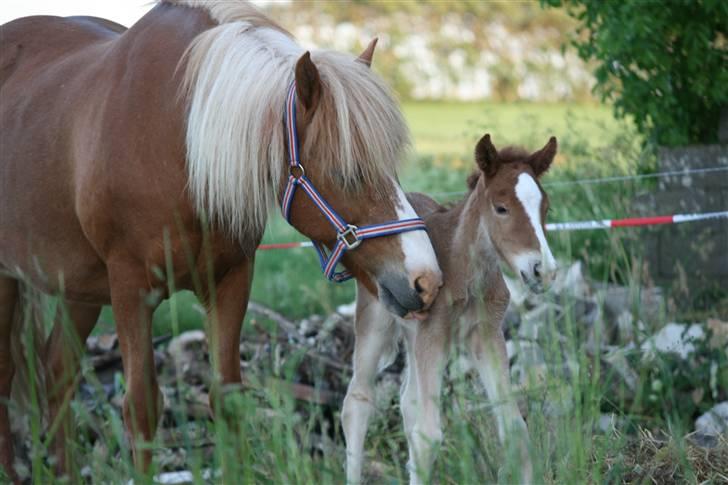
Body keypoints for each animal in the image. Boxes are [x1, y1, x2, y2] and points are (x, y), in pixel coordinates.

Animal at [0, 0, 444, 476]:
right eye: (347, 173)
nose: (425, 280)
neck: (177, 143)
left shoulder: (230, 279)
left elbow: (226, 398)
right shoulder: (130, 289)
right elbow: (141, 408)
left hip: (79, 287)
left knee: (56, 373)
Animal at [342, 134, 556, 484]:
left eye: (545, 208)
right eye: (501, 208)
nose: (544, 271)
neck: (465, 273)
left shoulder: (486, 334)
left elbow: (514, 428)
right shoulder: (434, 336)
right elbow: (428, 435)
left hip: (413, 335)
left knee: (408, 402)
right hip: (376, 321)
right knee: (356, 402)